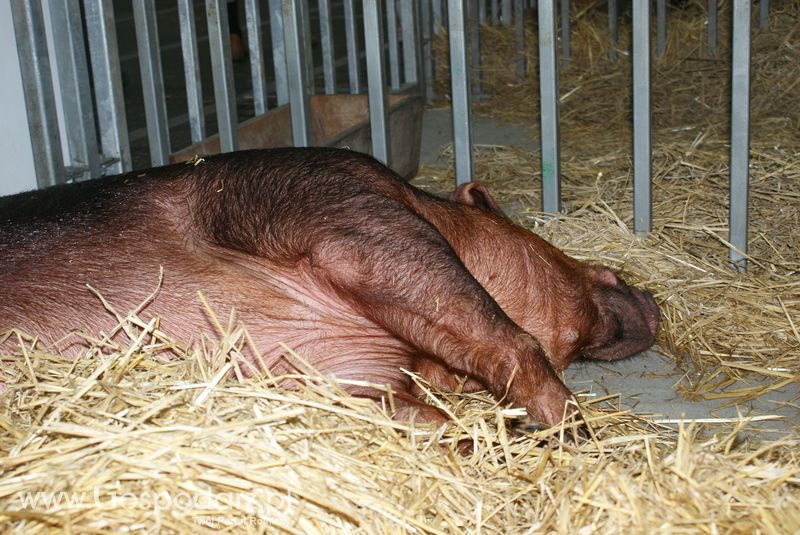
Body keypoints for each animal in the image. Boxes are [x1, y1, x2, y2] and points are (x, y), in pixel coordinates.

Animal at [0, 149, 656, 430]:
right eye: (595, 272)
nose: (651, 298)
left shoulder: (353, 376)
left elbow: (425, 418)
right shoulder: (343, 209)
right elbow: (500, 333)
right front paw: (570, 431)